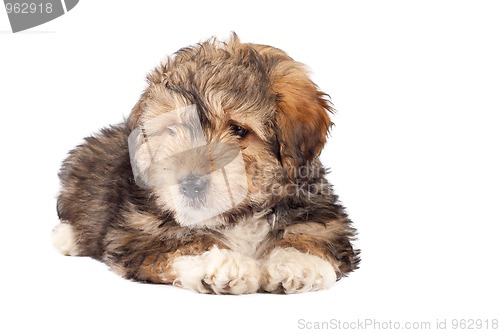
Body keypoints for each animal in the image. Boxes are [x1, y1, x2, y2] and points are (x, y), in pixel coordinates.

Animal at [52, 33, 360, 294]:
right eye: (171, 130)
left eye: (238, 130)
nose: (191, 185)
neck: (239, 218)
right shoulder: (138, 233)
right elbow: (184, 243)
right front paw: (223, 264)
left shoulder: (324, 217)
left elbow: (313, 233)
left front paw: (296, 263)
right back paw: (66, 237)